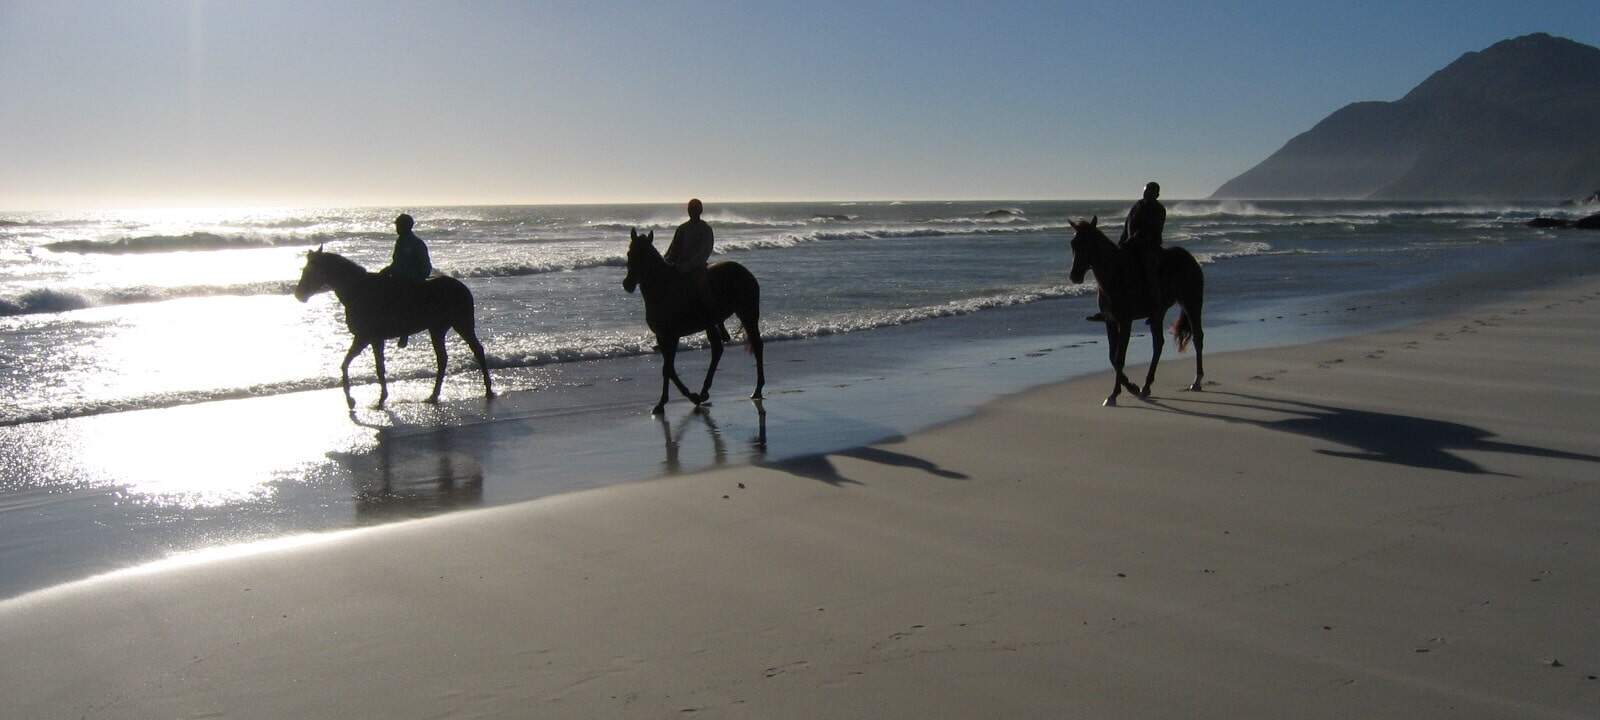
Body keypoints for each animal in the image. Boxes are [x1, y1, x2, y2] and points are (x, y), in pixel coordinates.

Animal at [293, 248, 494, 409]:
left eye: (309, 270)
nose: (299, 294)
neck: (358, 290)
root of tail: (462, 287)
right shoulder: (366, 339)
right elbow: (348, 364)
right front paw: (356, 399)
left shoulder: (368, 338)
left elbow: (375, 367)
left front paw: (376, 398)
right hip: (437, 329)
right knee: (442, 359)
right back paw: (434, 395)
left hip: (462, 324)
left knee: (477, 350)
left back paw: (488, 389)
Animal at [622, 227, 765, 414]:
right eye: (629, 253)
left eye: (644, 255)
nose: (628, 284)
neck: (663, 288)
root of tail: (747, 273)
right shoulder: (662, 337)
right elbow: (669, 369)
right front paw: (685, 397)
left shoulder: (672, 336)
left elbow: (667, 369)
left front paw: (669, 401)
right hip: (713, 322)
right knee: (718, 349)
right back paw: (705, 391)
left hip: (747, 314)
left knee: (756, 345)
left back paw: (757, 389)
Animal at [1067, 215, 1205, 406]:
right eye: (1073, 244)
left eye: (1087, 244)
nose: (1075, 276)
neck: (1115, 275)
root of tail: (1190, 259)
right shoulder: (1110, 321)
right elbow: (1112, 357)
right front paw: (1132, 387)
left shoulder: (1125, 321)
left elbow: (1119, 358)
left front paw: (1114, 395)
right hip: (1158, 313)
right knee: (1158, 344)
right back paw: (1146, 386)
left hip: (1191, 304)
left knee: (1197, 337)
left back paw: (1197, 381)